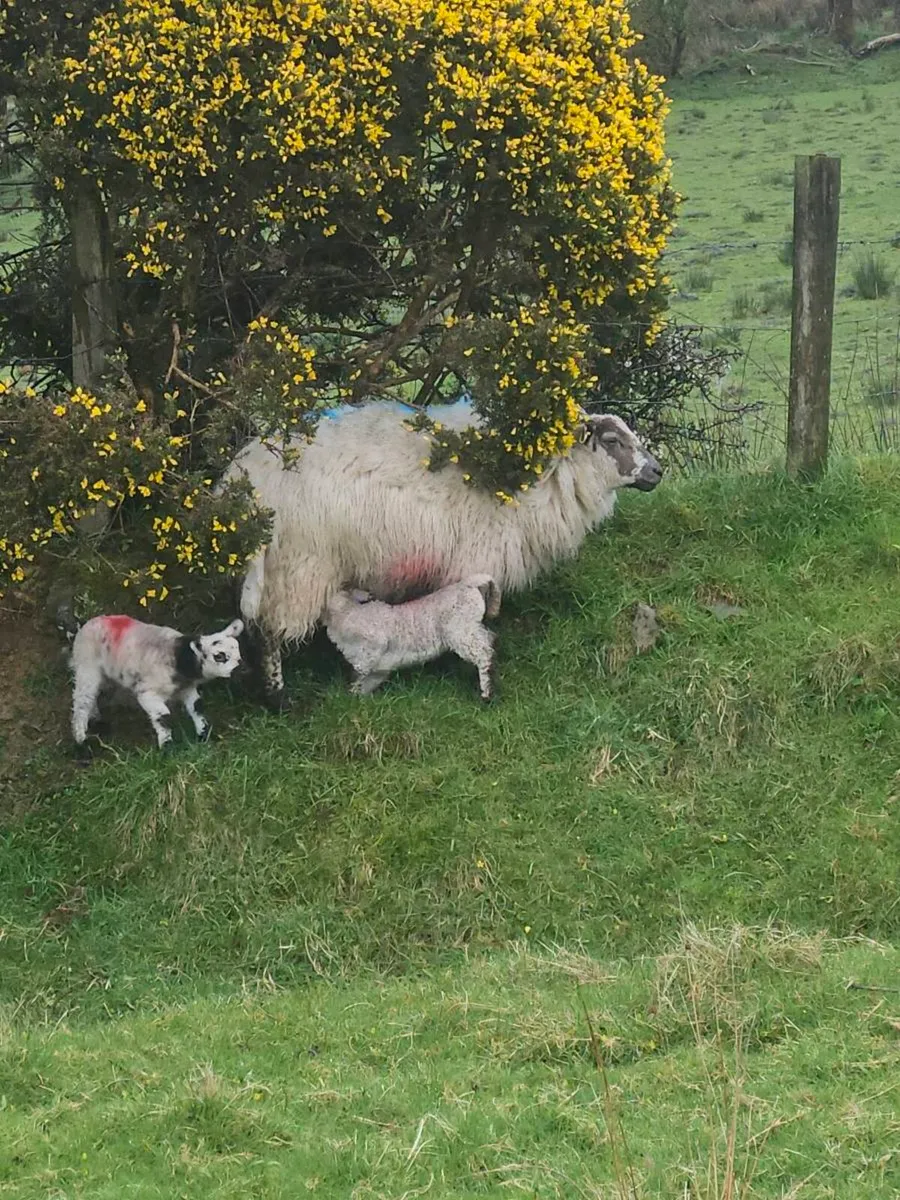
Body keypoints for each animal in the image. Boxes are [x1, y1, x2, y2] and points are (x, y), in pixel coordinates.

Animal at [69, 614, 244, 749]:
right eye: (219, 656)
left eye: (238, 650)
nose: (239, 669)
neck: (179, 657)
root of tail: (87, 624)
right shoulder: (147, 692)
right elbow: (163, 716)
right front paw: (167, 746)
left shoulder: (186, 688)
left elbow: (197, 707)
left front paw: (204, 735)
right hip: (87, 665)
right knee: (82, 700)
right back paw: (81, 741)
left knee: (92, 696)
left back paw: (96, 719)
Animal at [324, 574, 501, 700]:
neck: (347, 613)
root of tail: (470, 583)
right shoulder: (379, 670)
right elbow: (363, 685)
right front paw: (353, 698)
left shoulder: (375, 644)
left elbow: (363, 668)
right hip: (470, 627)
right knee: (488, 639)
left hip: (460, 630)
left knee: (483, 652)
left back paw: (486, 691)